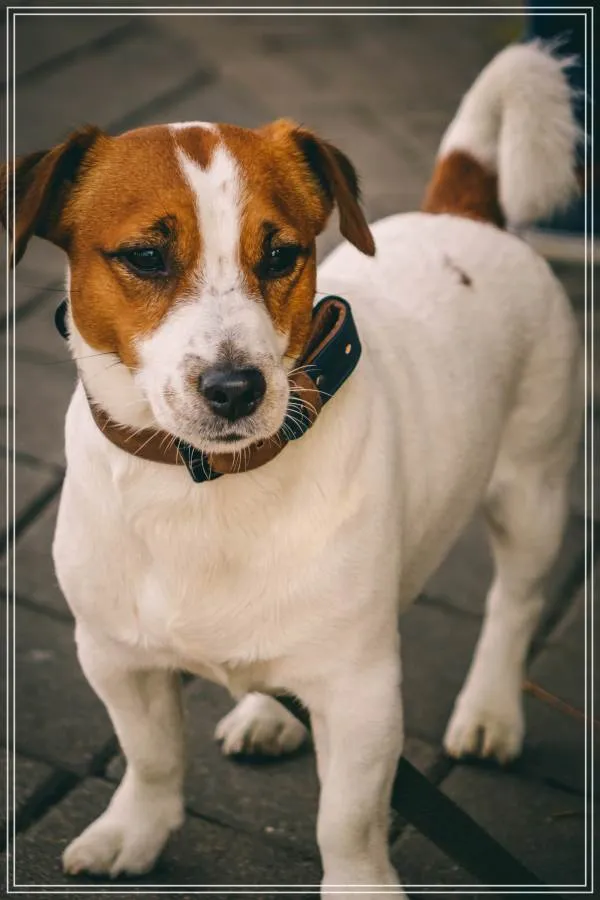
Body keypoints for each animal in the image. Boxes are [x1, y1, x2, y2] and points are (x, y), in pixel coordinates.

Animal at [3, 42, 583, 895]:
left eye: (280, 255)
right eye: (145, 256)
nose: (236, 387)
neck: (209, 482)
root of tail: (463, 211)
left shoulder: (361, 690)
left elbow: (346, 819)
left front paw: (360, 886)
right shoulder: (114, 657)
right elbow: (151, 757)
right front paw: (135, 833)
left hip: (533, 490)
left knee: (514, 603)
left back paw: (490, 711)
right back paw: (268, 711)